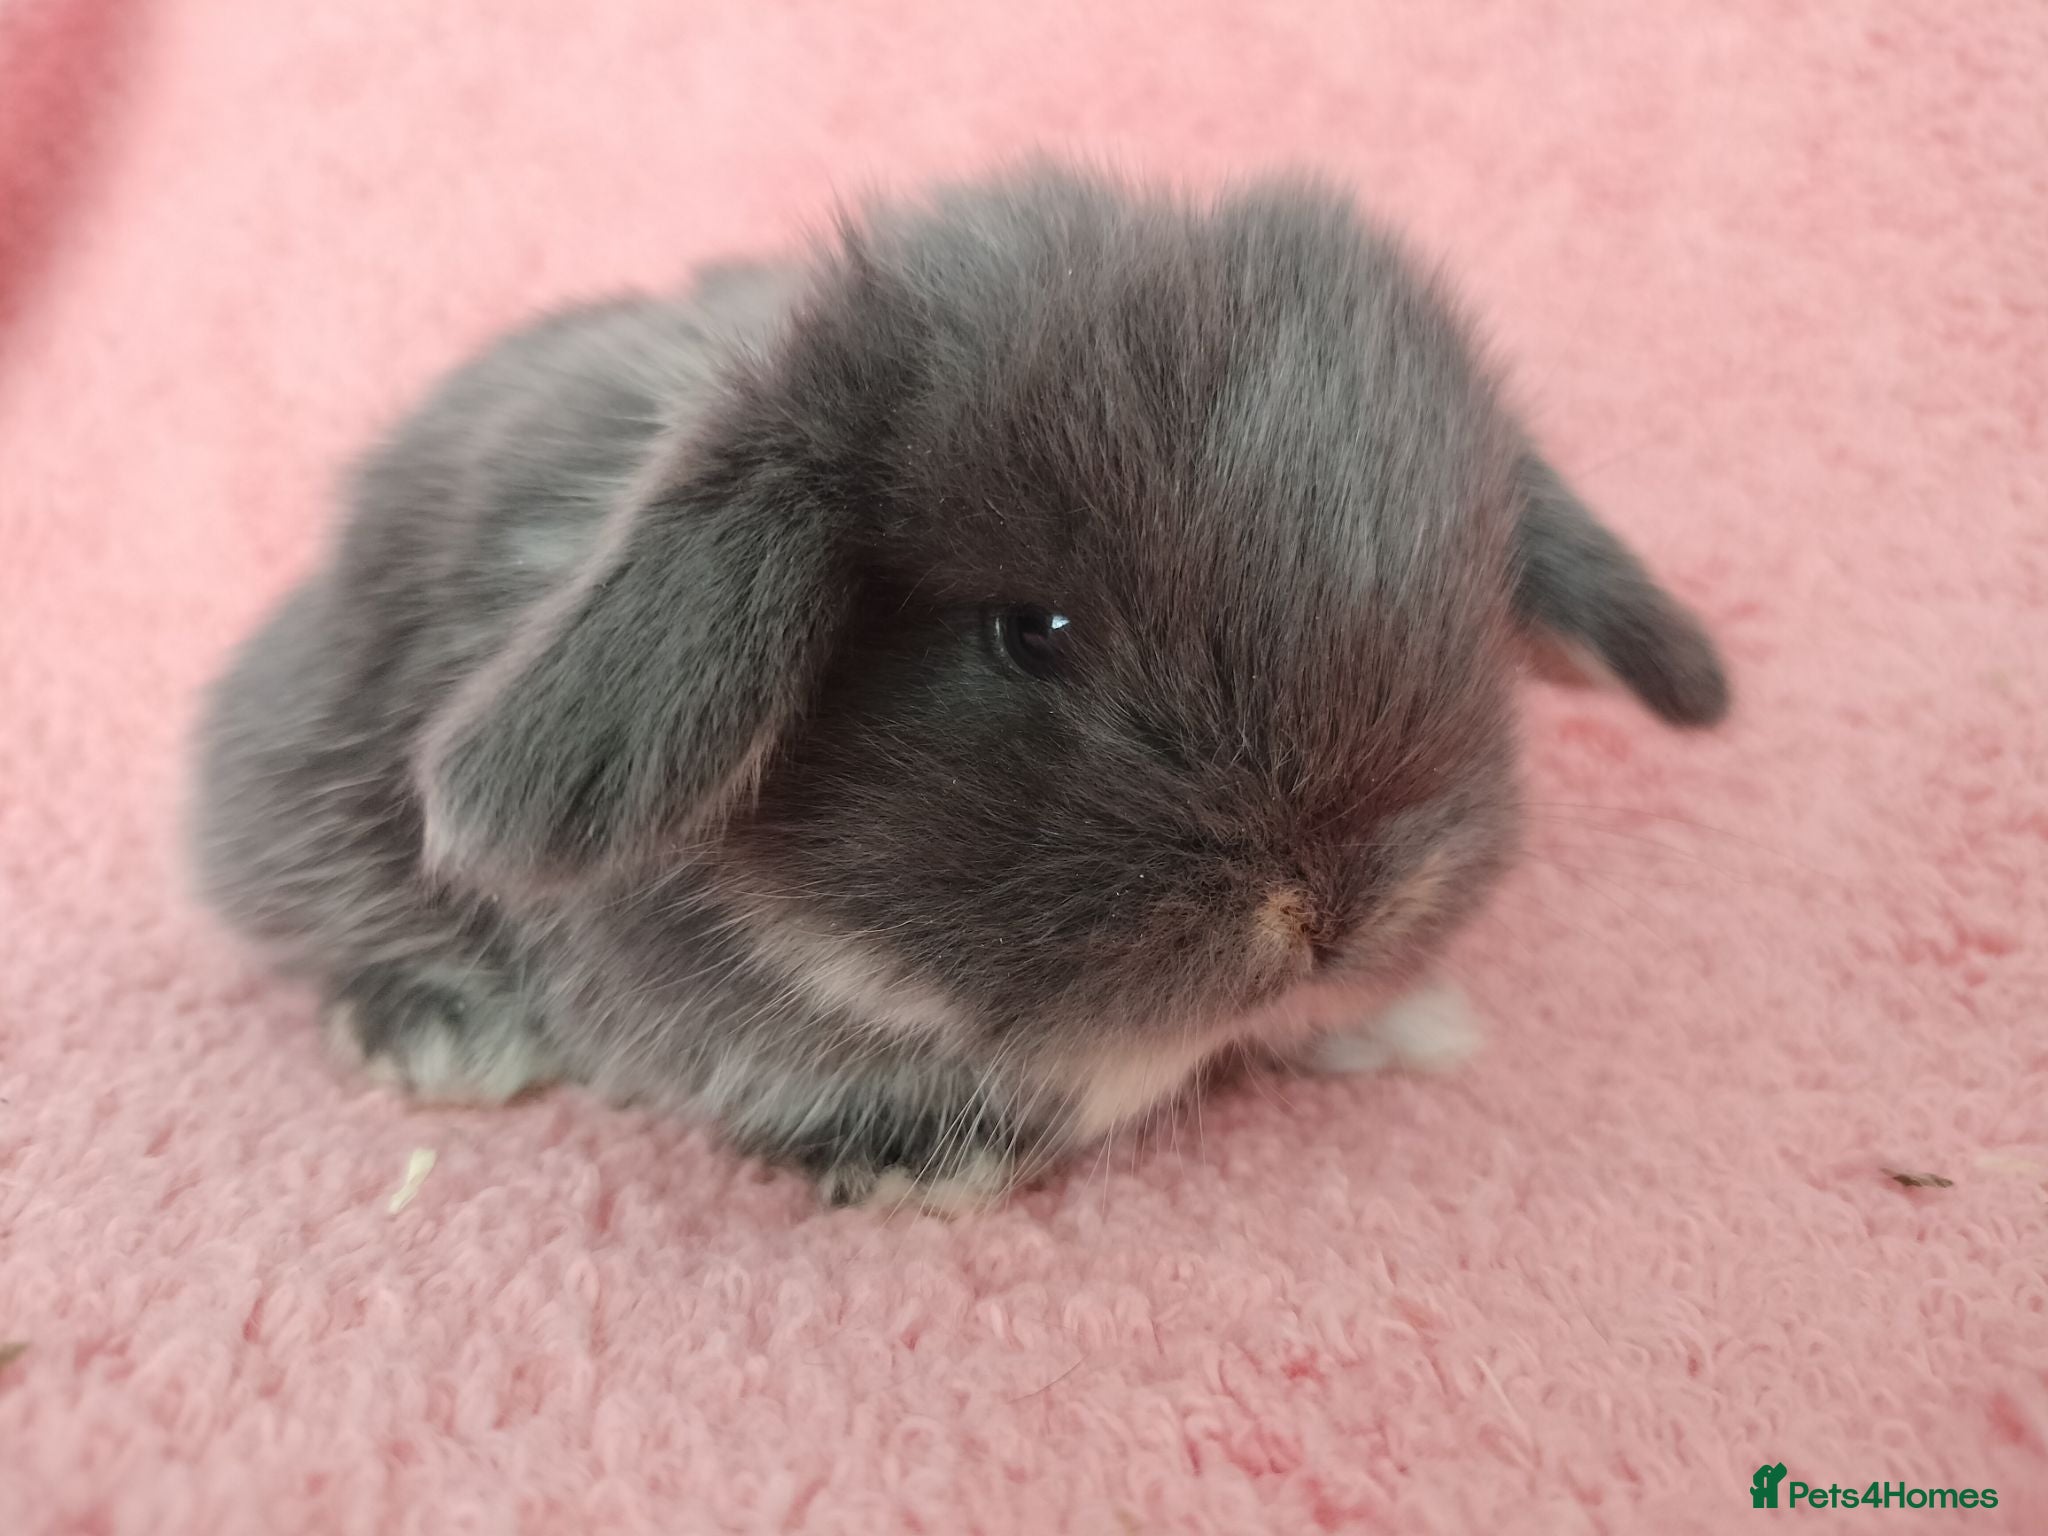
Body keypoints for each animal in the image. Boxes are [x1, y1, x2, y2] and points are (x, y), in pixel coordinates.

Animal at [189, 166, 1728, 1212]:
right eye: (1029, 631)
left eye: (1466, 612)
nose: (1337, 914)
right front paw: (924, 1175)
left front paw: (1407, 1023)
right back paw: (444, 1039)